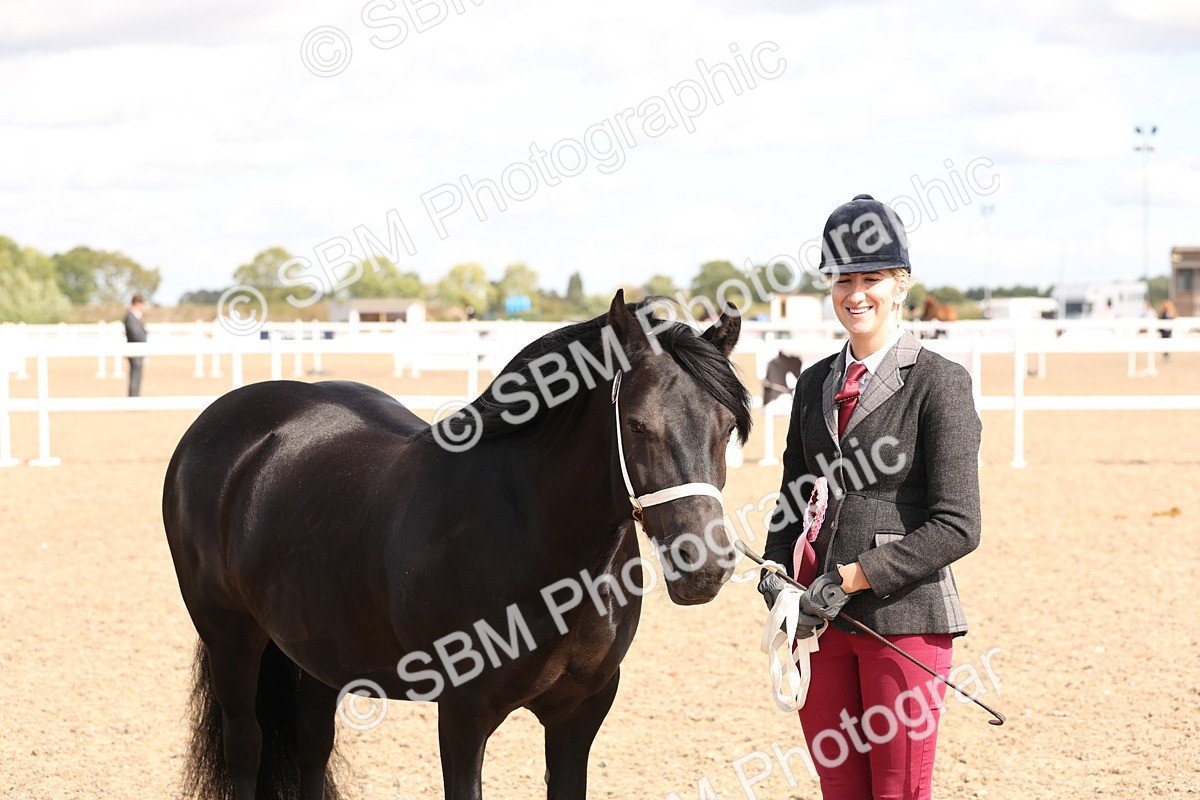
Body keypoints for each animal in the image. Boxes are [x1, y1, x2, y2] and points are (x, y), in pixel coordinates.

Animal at [163, 291, 752, 800]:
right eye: (637, 424)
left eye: (727, 428)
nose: (704, 565)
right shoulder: (464, 714)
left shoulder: (580, 713)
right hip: (231, 637)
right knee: (247, 747)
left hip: (317, 647)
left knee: (312, 744)